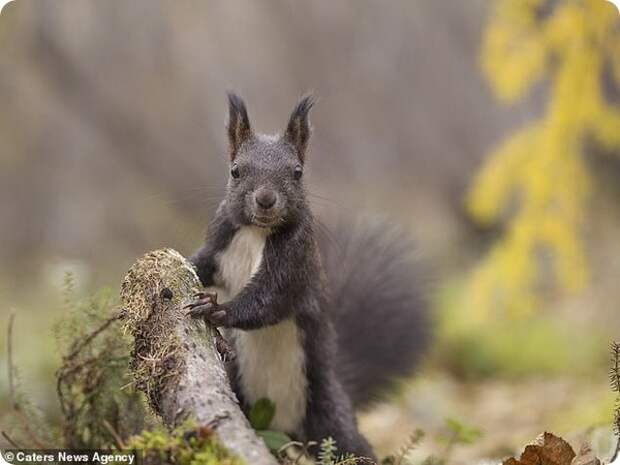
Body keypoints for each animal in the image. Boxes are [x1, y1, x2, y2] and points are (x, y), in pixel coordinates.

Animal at [189, 94, 432, 460]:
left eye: (297, 172)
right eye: (235, 171)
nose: (265, 199)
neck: (255, 233)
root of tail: (284, 426)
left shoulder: (295, 263)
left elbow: (269, 300)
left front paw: (219, 309)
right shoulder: (220, 244)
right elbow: (201, 264)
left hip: (326, 411)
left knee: (351, 445)